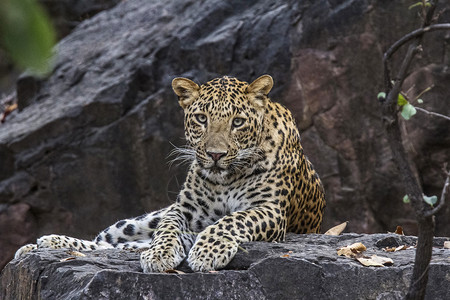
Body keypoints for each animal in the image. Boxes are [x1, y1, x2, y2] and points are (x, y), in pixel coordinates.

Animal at [14, 74, 324, 272]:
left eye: (237, 122)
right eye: (201, 118)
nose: (216, 155)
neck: (226, 179)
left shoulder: (270, 209)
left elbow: (231, 220)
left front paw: (206, 252)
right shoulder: (183, 210)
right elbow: (168, 229)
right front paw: (160, 254)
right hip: (136, 221)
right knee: (106, 241)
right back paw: (45, 244)